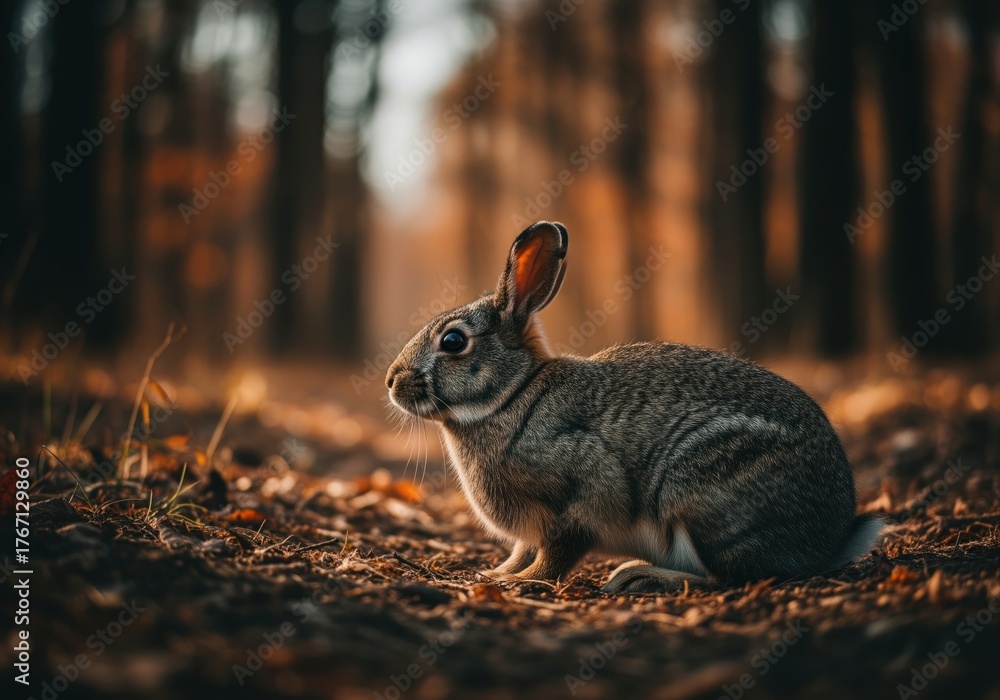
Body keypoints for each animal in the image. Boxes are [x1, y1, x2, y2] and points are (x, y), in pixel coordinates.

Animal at [385, 221, 884, 593]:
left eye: (453, 341)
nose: (391, 381)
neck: (512, 394)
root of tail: (831, 538)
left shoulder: (579, 494)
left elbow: (556, 553)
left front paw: (521, 582)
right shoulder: (531, 530)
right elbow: (521, 549)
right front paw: (495, 572)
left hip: (701, 490)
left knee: (728, 576)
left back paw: (637, 576)